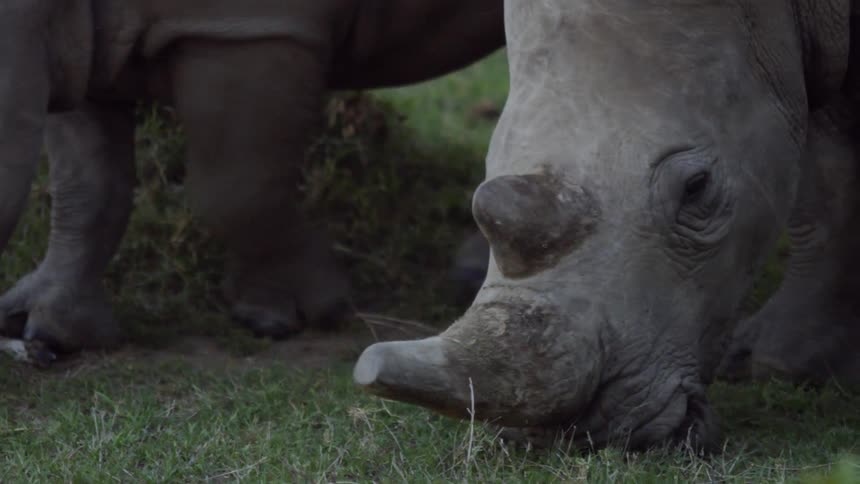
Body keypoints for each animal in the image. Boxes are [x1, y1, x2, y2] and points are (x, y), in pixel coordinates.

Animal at [0, 0, 504, 357]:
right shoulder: (77, 48)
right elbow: (86, 185)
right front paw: (48, 330)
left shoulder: (250, 27)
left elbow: (232, 190)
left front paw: (296, 314)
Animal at [355, 0, 860, 451]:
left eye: (697, 188)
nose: (569, 434)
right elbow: (819, 165)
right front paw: (773, 362)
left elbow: (832, 150)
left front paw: (785, 365)